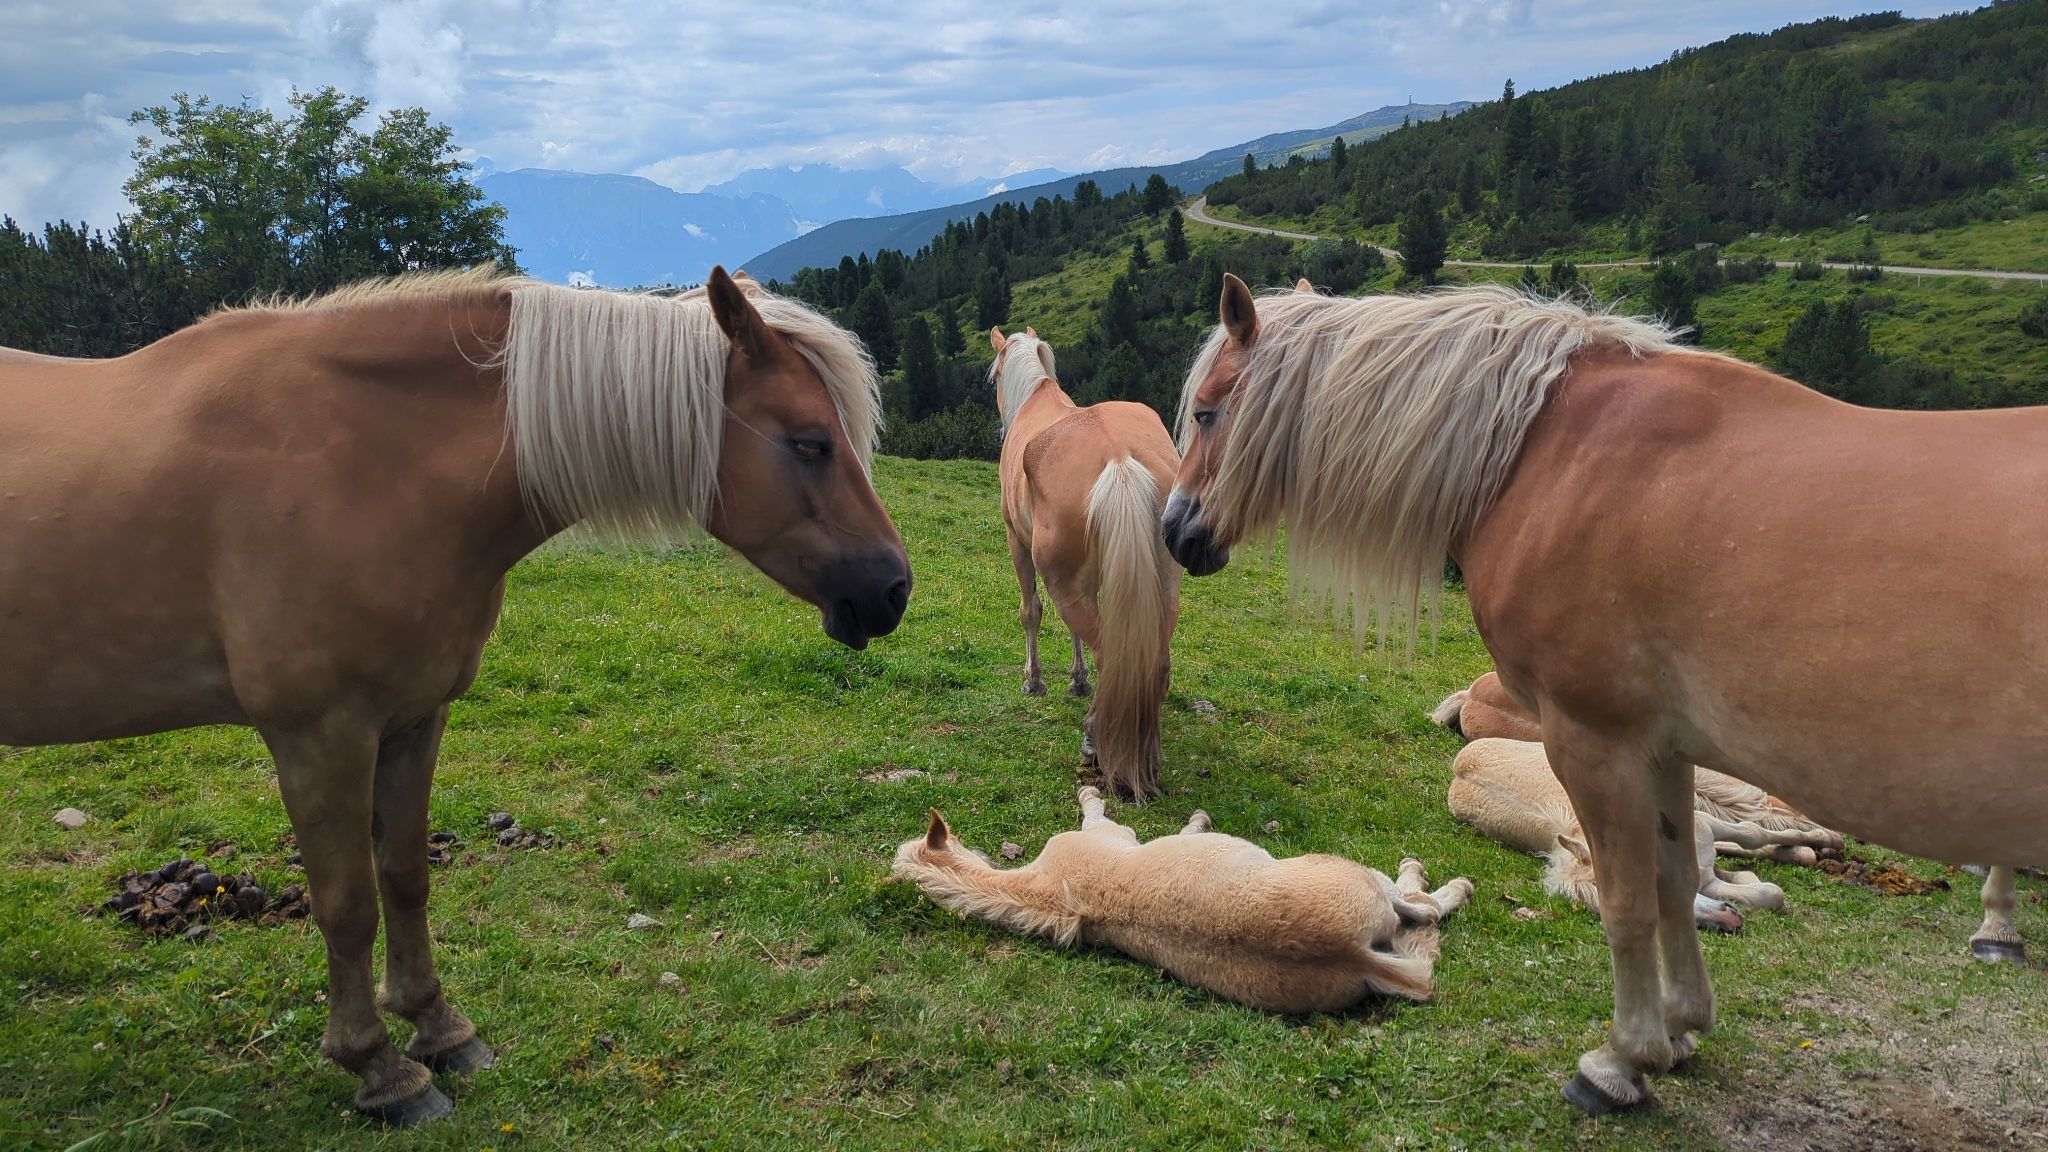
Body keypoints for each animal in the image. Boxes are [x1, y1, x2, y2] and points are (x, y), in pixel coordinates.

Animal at [0, 266, 910, 1125]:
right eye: (810, 443)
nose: (893, 589)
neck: (365, 462)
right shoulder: (319, 736)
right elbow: (347, 905)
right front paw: (379, 1069)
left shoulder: (412, 719)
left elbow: (405, 875)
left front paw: (438, 1029)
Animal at [893, 787, 1474, 1010]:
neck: (1045, 893)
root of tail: (1352, 953)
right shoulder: (1114, 833)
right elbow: (1098, 811)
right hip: (1356, 873)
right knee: (1420, 906)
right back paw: (1441, 881)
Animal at [990, 327, 1181, 800]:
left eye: (994, 377)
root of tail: (1119, 458)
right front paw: (1078, 680)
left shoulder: (1016, 541)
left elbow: (1030, 612)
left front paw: (1034, 680)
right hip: (1163, 586)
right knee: (1154, 662)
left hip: (1064, 583)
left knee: (1110, 655)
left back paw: (1096, 742)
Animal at [1160, 274, 2047, 1114]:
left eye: (1206, 412)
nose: (1175, 532)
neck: (1542, 457)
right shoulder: (1664, 749)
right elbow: (1674, 879)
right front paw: (1682, 1030)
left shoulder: (1595, 739)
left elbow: (1627, 901)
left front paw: (1623, 1063)